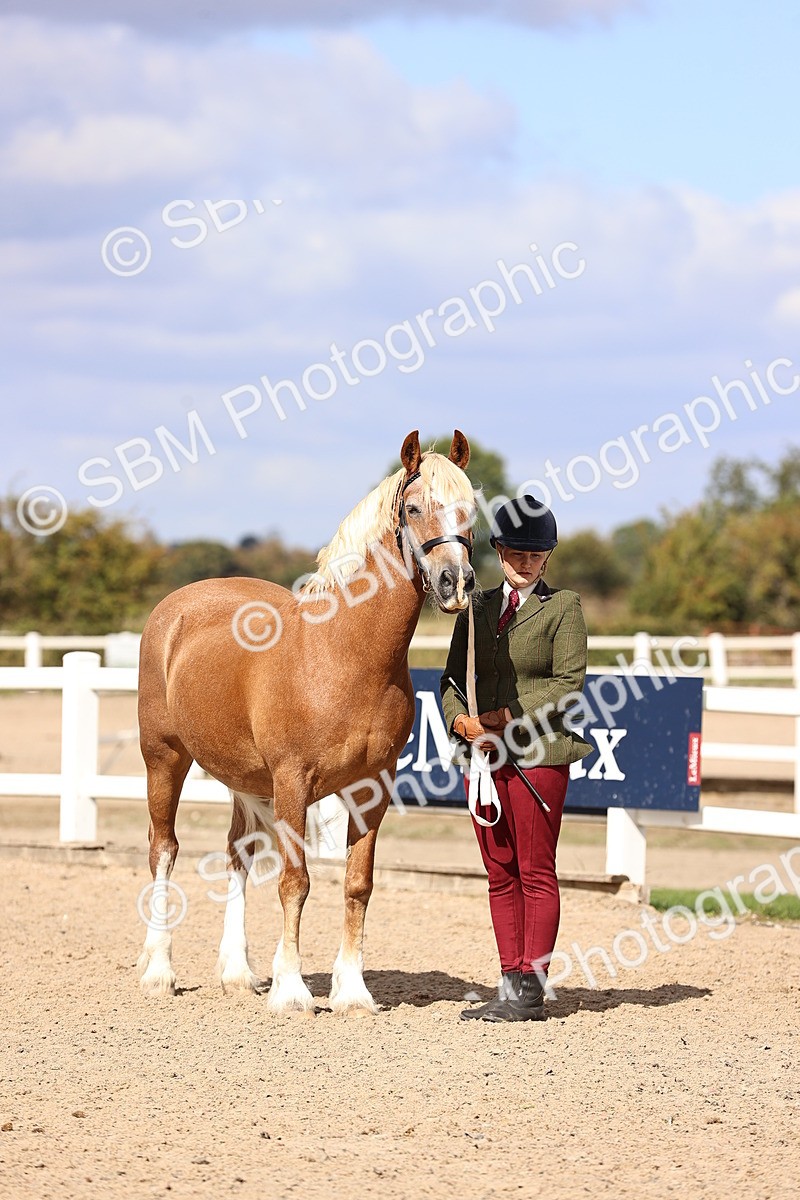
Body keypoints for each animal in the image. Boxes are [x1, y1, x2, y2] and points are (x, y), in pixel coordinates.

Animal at [136, 429, 476, 1013]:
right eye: (413, 508)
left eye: (470, 509)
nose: (456, 582)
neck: (344, 654)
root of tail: (175, 608)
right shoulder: (293, 782)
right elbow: (295, 883)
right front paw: (293, 991)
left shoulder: (372, 788)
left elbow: (357, 885)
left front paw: (353, 992)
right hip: (165, 759)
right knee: (165, 849)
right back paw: (159, 972)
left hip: (243, 777)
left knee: (237, 852)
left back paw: (237, 973)